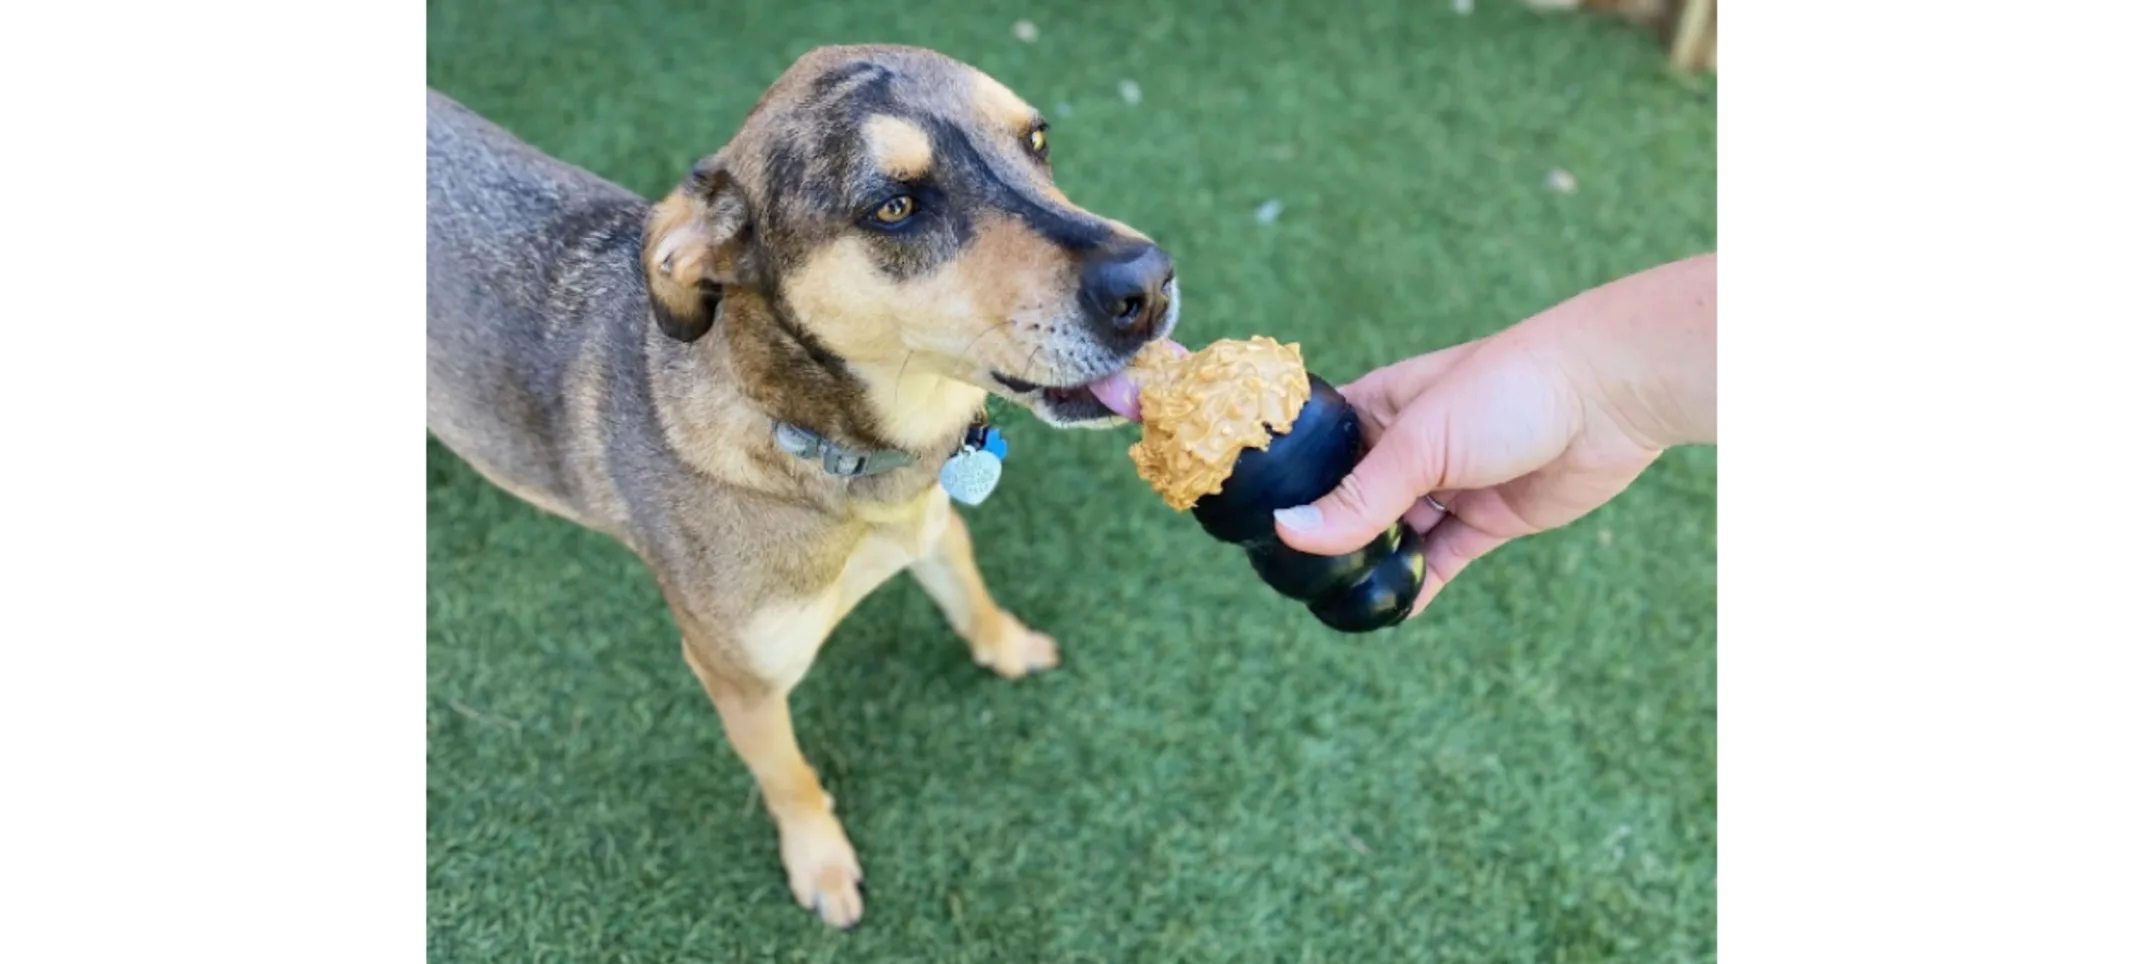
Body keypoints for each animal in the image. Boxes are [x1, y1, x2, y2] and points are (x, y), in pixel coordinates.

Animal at [423, 45, 1181, 925]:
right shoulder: (738, 677)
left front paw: (1007, 645)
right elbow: (788, 778)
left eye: (1037, 139)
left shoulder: (933, 524)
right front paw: (820, 863)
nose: (1150, 284)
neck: (828, 456)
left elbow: (969, 594)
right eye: (895, 207)